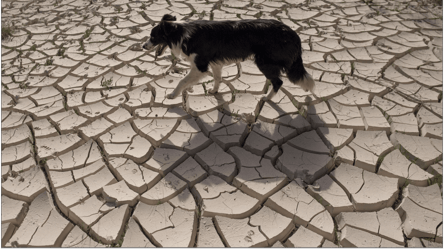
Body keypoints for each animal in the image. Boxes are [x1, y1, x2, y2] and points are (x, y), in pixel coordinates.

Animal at [142, 13, 316, 100]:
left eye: (153, 37)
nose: (143, 46)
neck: (180, 33)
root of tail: (292, 32)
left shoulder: (200, 66)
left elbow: (182, 80)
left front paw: (173, 94)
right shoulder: (215, 64)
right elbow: (217, 78)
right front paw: (214, 91)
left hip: (264, 62)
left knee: (278, 82)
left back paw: (267, 98)